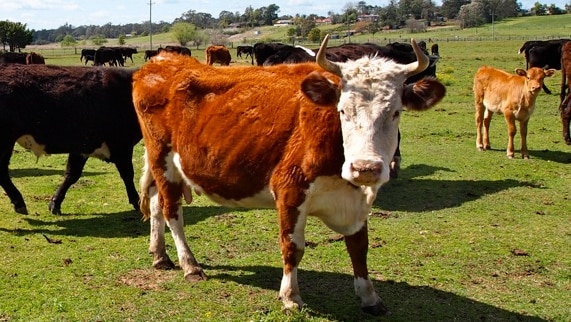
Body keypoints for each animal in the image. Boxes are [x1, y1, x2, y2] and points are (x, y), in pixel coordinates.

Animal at [0, 63, 142, 214]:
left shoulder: (83, 147)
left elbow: (72, 174)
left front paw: (55, 203)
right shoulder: (122, 145)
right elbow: (128, 174)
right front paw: (137, 202)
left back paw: (19, 202)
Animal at [133, 34, 446, 314]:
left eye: (395, 112)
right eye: (343, 110)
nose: (365, 168)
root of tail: (162, 61)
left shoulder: (356, 200)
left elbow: (359, 247)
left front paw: (370, 297)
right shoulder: (290, 189)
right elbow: (292, 246)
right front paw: (291, 296)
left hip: (161, 165)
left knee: (155, 203)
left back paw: (159, 254)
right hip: (162, 158)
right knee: (172, 211)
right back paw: (189, 264)